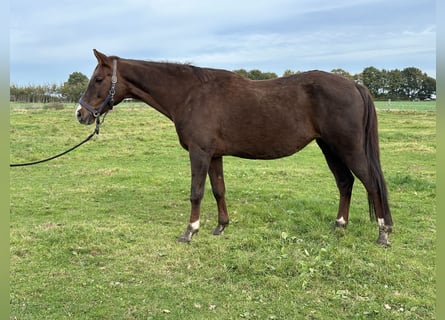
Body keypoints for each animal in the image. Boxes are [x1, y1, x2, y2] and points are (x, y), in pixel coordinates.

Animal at [76, 49, 392, 245]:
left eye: (99, 79)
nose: (80, 114)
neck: (190, 94)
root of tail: (354, 85)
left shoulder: (199, 153)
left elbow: (196, 192)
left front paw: (190, 231)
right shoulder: (214, 155)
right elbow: (218, 190)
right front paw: (220, 226)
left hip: (348, 148)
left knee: (372, 183)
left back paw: (383, 233)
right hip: (329, 147)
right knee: (345, 182)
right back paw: (339, 225)